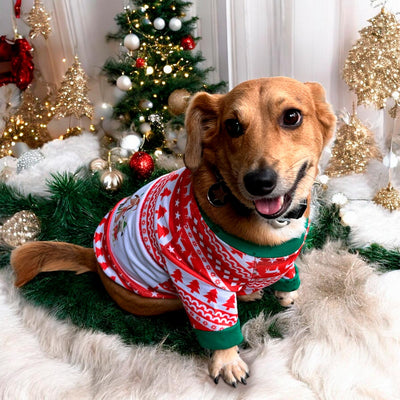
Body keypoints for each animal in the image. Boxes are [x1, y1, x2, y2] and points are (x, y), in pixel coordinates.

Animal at [10, 77, 334, 388]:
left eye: (292, 116)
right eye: (232, 125)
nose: (258, 182)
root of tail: (95, 258)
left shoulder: (285, 256)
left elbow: (287, 275)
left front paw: (287, 294)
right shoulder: (200, 282)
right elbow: (221, 328)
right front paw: (227, 361)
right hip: (160, 298)